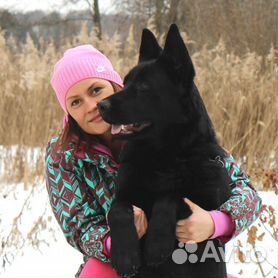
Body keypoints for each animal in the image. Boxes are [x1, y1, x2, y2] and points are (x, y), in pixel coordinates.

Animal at [99, 23, 231, 278]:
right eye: (125, 82)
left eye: (143, 86)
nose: (101, 105)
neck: (163, 156)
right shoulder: (123, 195)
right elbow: (116, 209)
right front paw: (124, 254)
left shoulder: (205, 200)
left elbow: (170, 196)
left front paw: (156, 244)